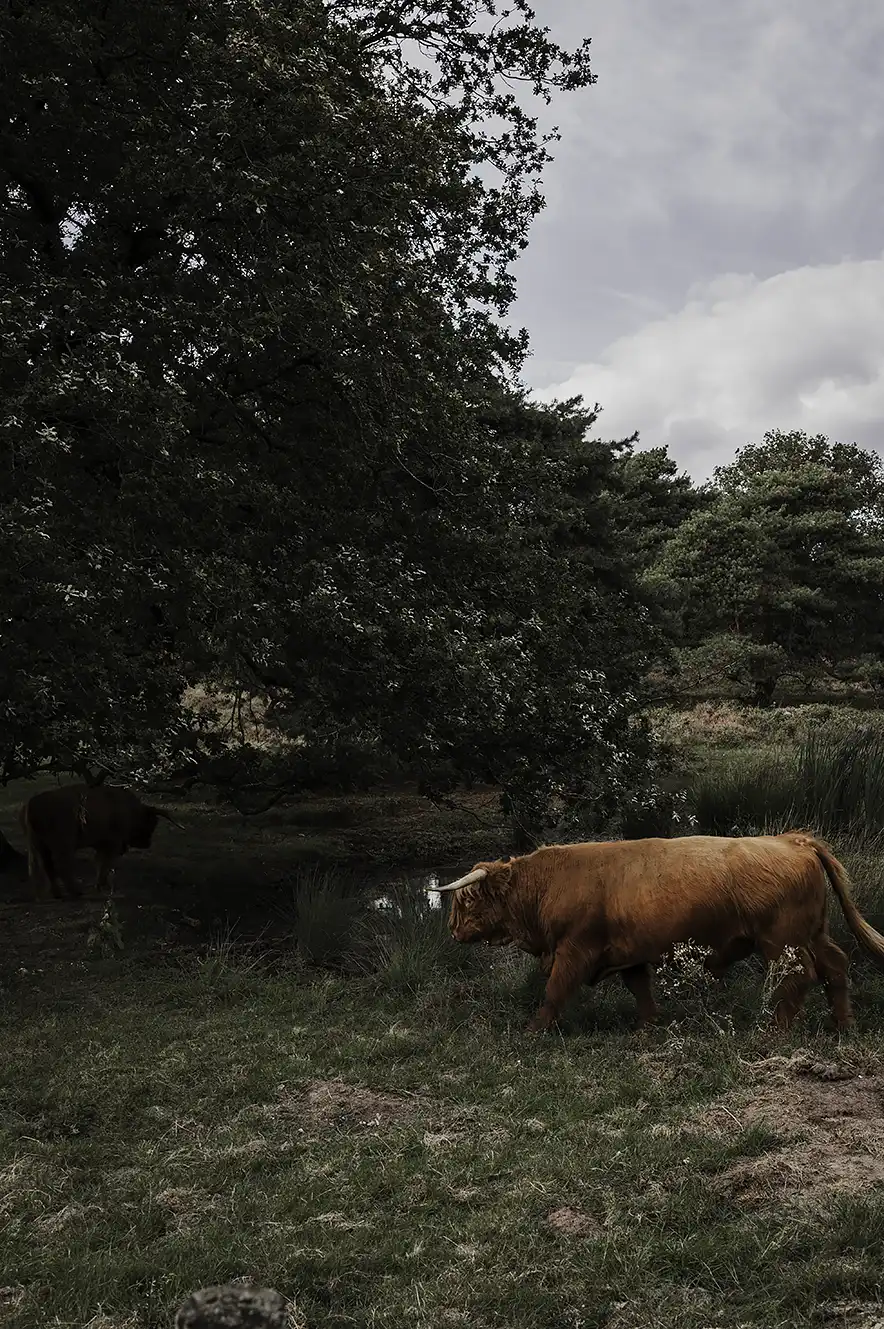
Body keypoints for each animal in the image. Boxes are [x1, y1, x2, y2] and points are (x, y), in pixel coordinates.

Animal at [18, 776, 180, 903]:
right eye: (152, 822)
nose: (147, 843)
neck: (130, 808)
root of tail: (32, 803)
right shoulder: (113, 844)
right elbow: (105, 863)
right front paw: (102, 884)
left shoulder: (101, 844)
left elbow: (99, 862)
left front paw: (100, 884)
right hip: (63, 845)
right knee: (61, 865)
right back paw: (76, 892)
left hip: (40, 847)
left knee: (47, 866)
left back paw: (57, 894)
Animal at [433, 829, 882, 1036]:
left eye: (465, 901)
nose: (452, 933)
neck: (546, 885)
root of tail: (793, 839)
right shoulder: (627, 951)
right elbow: (640, 988)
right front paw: (648, 1026)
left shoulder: (575, 949)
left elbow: (555, 991)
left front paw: (534, 1029)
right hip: (814, 932)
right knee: (834, 967)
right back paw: (844, 1023)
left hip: (781, 940)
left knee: (800, 976)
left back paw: (777, 1029)